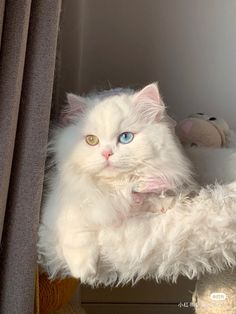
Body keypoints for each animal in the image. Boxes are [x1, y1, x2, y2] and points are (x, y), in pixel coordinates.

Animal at [37, 83, 195, 280]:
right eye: (91, 140)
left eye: (125, 137)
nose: (106, 153)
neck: (117, 187)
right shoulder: (62, 207)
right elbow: (76, 232)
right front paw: (84, 271)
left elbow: (154, 197)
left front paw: (161, 205)